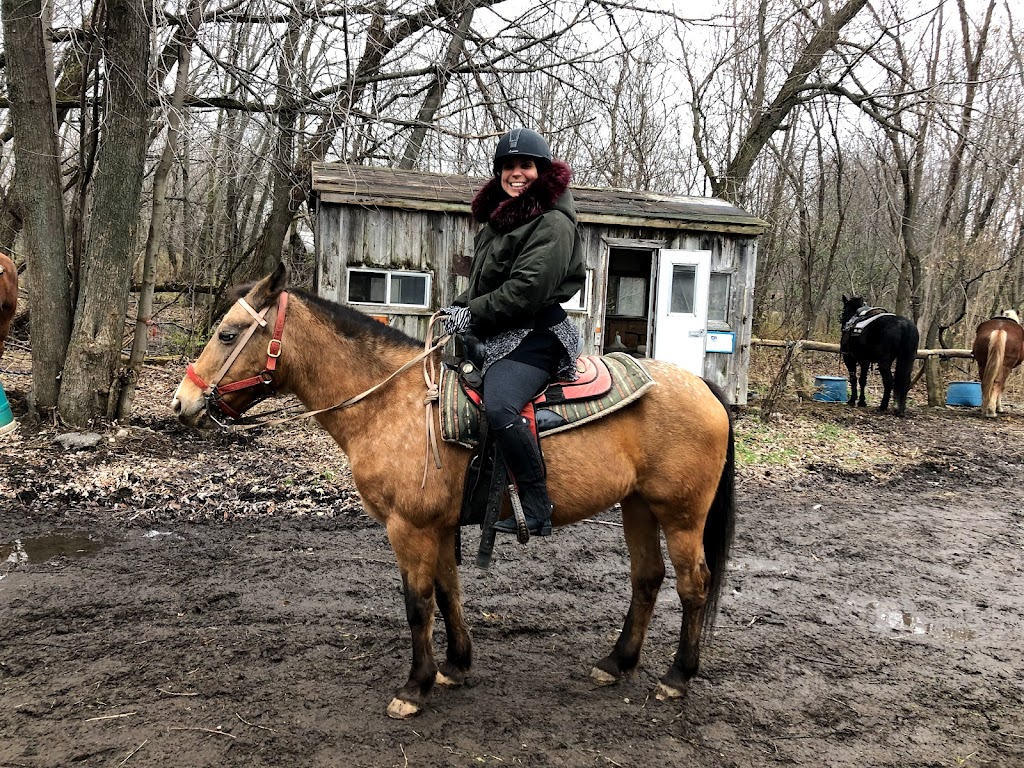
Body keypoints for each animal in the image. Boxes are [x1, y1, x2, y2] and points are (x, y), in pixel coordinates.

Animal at [169, 266, 737, 720]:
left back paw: (677, 677)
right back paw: (617, 663)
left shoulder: (410, 527)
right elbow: (448, 592)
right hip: (637, 505)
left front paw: (414, 687)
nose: (183, 402)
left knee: (693, 584)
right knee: (647, 579)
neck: (393, 404)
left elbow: (417, 603)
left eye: (227, 334)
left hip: (681, 515)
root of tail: (705, 388)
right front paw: (455, 665)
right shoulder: (438, 526)